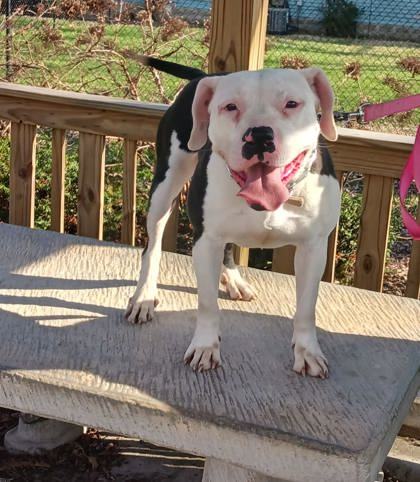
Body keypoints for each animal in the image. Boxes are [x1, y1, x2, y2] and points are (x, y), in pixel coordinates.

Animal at [125, 56, 342, 378]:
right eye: (230, 107)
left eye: (291, 103)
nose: (260, 135)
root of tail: (203, 76)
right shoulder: (206, 241)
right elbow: (206, 303)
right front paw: (205, 347)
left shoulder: (313, 248)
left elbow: (306, 307)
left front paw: (307, 352)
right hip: (165, 186)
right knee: (152, 247)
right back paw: (144, 297)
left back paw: (234, 280)